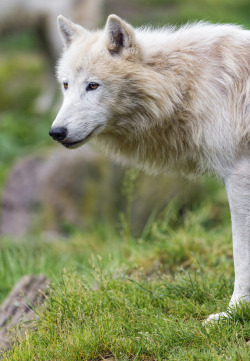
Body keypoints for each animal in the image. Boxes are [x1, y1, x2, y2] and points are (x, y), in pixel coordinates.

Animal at [49, 15, 250, 322]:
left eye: (93, 86)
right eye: (66, 85)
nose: (56, 132)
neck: (185, 84)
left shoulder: (239, 174)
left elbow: (241, 252)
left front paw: (234, 312)